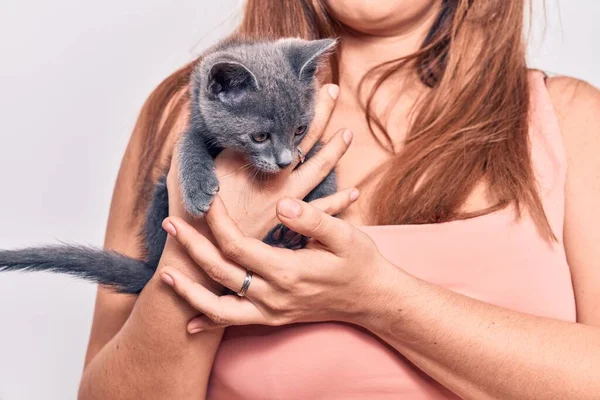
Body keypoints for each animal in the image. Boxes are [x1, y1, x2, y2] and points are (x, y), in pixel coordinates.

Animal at [0, 38, 338, 294]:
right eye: (259, 136)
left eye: (299, 130)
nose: (284, 162)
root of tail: (151, 266)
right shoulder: (195, 127)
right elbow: (188, 143)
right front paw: (199, 188)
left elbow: (320, 154)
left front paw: (324, 194)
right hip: (161, 196)